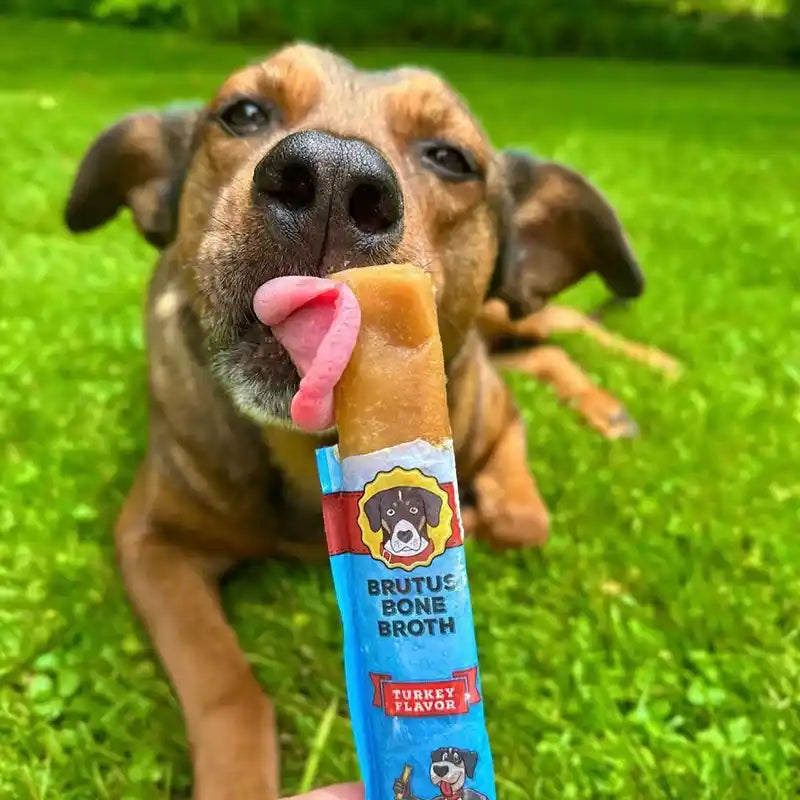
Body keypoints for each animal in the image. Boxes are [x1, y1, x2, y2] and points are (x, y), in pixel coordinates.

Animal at [65, 43, 652, 799]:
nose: (331, 177)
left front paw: (483, 514)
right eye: (243, 112)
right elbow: (229, 691)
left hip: (514, 312)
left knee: (566, 331)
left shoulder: (494, 418)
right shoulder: (150, 538)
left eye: (450, 157)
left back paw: (640, 381)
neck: (305, 441)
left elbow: (523, 520)